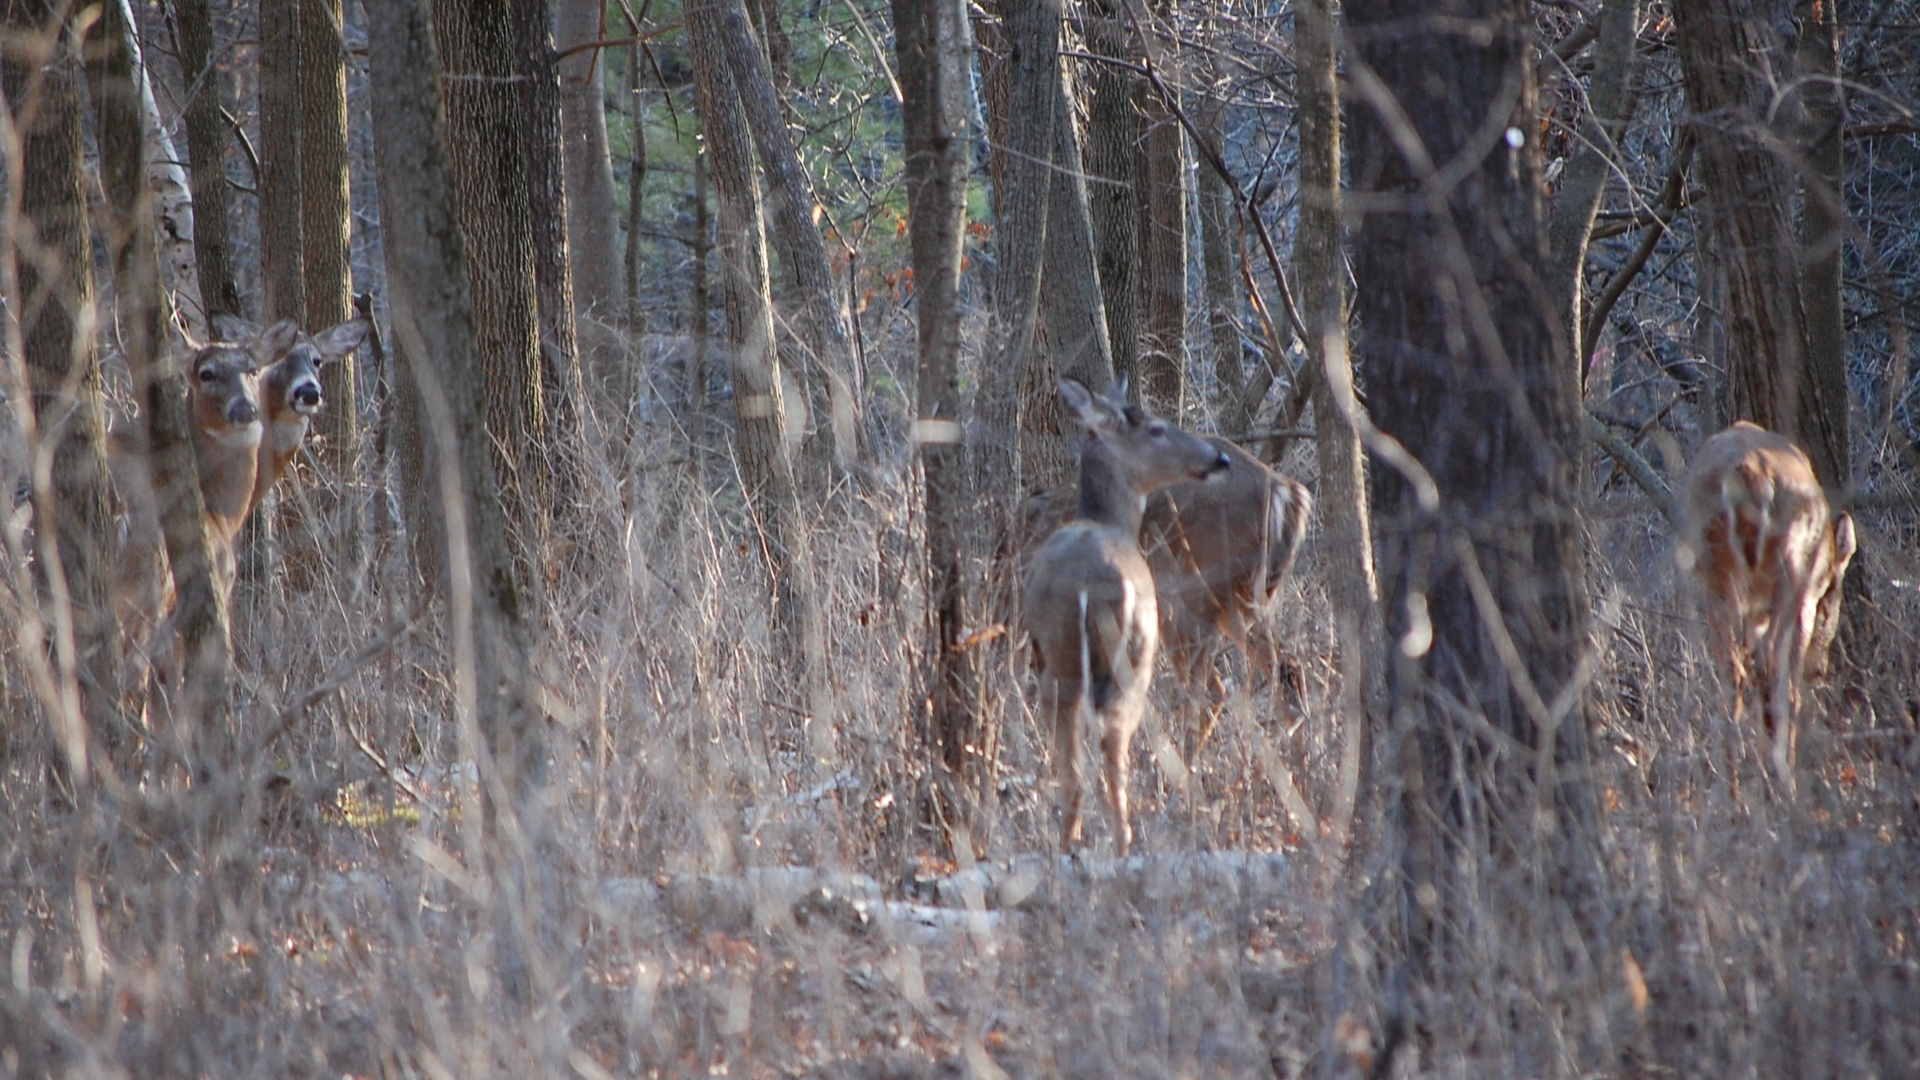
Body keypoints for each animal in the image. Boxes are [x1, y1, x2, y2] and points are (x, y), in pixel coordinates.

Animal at [1021, 376, 1228, 849]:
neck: (1106, 520)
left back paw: (1078, 845)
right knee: (1112, 759)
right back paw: (1123, 843)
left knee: (1077, 770)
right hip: (1132, 661)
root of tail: (1093, 588)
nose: (1219, 458)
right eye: (1156, 428)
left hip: (1063, 664)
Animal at [1681, 418, 1858, 791]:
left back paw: (1733, 789)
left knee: (1733, 677)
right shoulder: (1805, 597)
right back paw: (1783, 782)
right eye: (1833, 596)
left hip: (1716, 576)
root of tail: (1751, 475)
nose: (1819, 670)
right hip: (1789, 573)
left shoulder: (1753, 613)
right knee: (1779, 683)